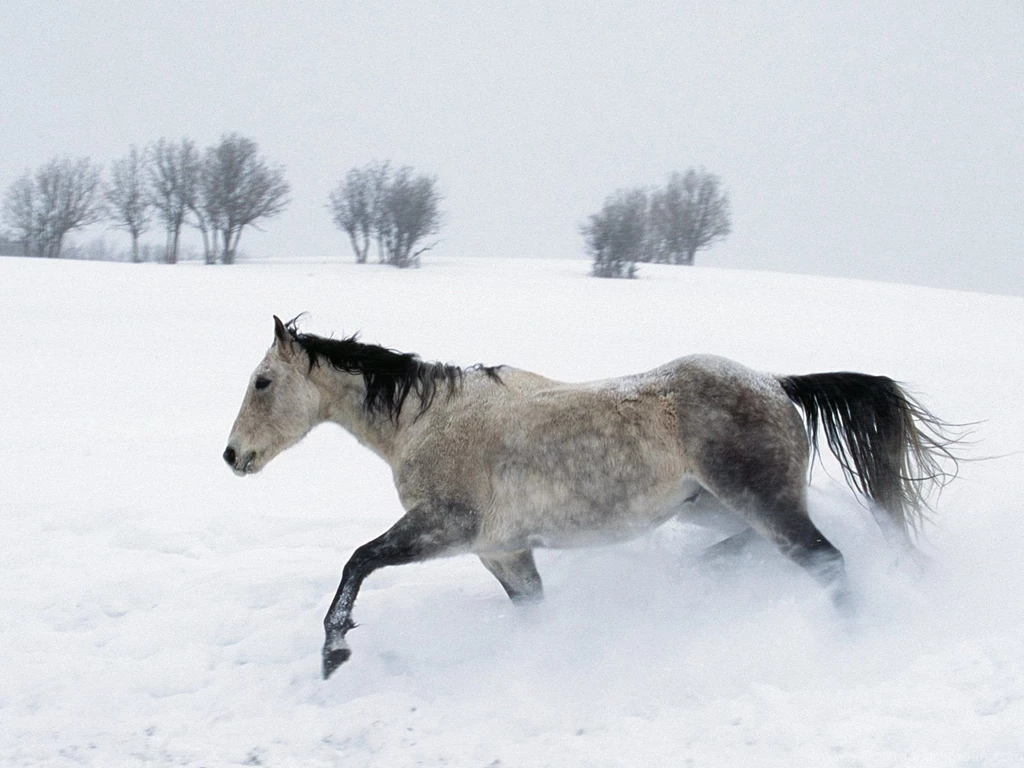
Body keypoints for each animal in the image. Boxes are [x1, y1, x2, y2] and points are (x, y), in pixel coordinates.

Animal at [223, 316, 960, 680]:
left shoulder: (446, 527)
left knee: (828, 563)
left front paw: (333, 652)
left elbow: (358, 560)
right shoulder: (502, 551)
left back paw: (852, 641)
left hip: (761, 500)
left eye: (262, 381)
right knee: (758, 546)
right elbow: (533, 611)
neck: (428, 420)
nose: (232, 456)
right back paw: (701, 575)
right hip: (714, 506)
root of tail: (776, 384)